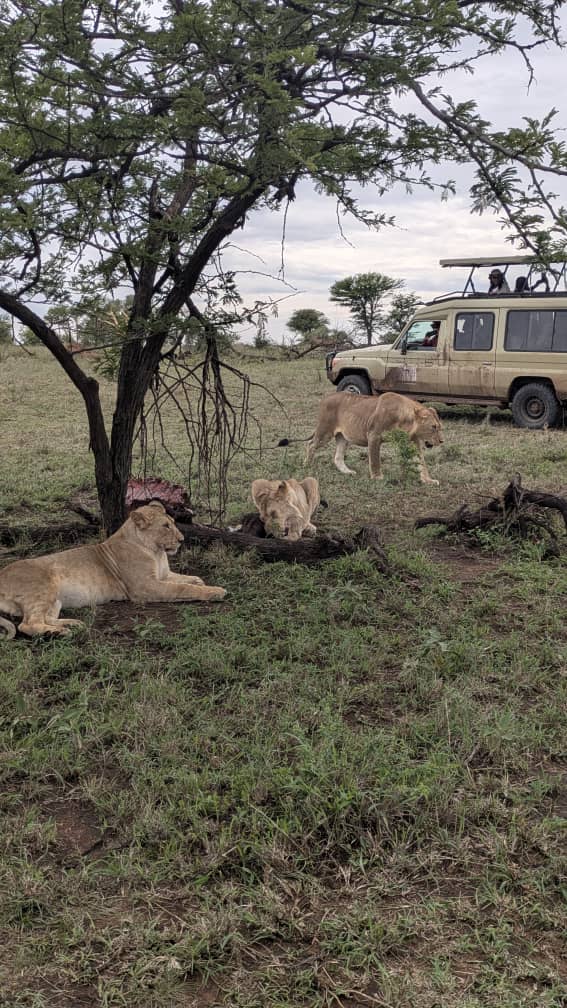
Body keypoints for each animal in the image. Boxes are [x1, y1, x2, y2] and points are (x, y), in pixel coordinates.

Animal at [0, 501, 226, 640]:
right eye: (165, 526)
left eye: (172, 523)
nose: (182, 540)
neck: (156, 552)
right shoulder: (145, 588)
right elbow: (181, 589)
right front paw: (216, 591)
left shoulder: (163, 575)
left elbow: (185, 579)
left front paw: (199, 580)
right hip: (44, 587)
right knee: (28, 624)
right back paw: (58, 633)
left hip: (55, 600)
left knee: (44, 618)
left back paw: (73, 624)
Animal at [306, 391, 443, 484]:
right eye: (433, 427)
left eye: (439, 427)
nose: (442, 441)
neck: (405, 421)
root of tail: (326, 397)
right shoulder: (374, 435)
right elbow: (375, 460)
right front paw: (378, 477)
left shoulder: (413, 441)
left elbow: (422, 463)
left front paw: (429, 480)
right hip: (325, 432)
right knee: (311, 444)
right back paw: (307, 465)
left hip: (343, 438)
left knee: (338, 457)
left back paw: (347, 472)